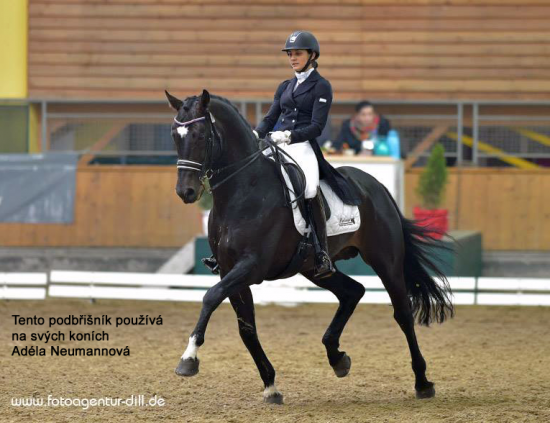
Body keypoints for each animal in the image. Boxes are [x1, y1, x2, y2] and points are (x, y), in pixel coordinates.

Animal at [166, 90, 454, 404]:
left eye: (200, 135)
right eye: (174, 135)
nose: (185, 192)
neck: (243, 191)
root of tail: (376, 186)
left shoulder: (251, 266)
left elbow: (210, 297)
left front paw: (188, 359)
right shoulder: (229, 270)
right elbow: (246, 329)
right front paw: (271, 386)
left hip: (385, 261)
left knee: (402, 313)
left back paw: (422, 382)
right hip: (315, 268)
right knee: (353, 292)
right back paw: (337, 358)